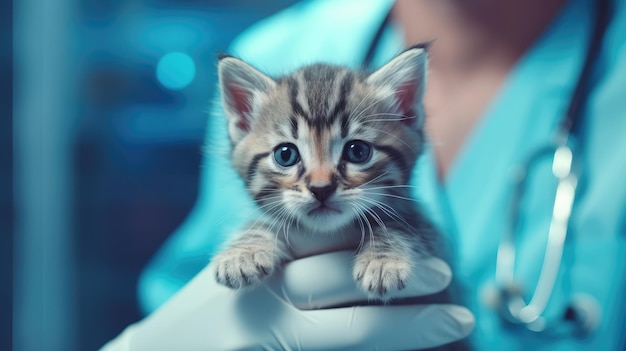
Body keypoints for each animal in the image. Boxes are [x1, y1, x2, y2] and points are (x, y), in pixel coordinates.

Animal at [212, 45, 442, 302]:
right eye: (285, 155)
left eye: (358, 151)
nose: (320, 189)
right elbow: (264, 223)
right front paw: (244, 251)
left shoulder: (433, 237)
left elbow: (404, 226)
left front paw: (383, 260)